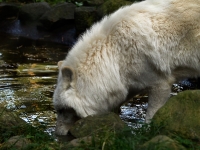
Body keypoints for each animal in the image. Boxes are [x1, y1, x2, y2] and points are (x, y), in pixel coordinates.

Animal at [52, 0, 200, 135]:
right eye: (58, 110)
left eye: (63, 110)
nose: (57, 134)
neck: (115, 51)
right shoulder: (128, 84)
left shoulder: (161, 84)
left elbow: (150, 116)